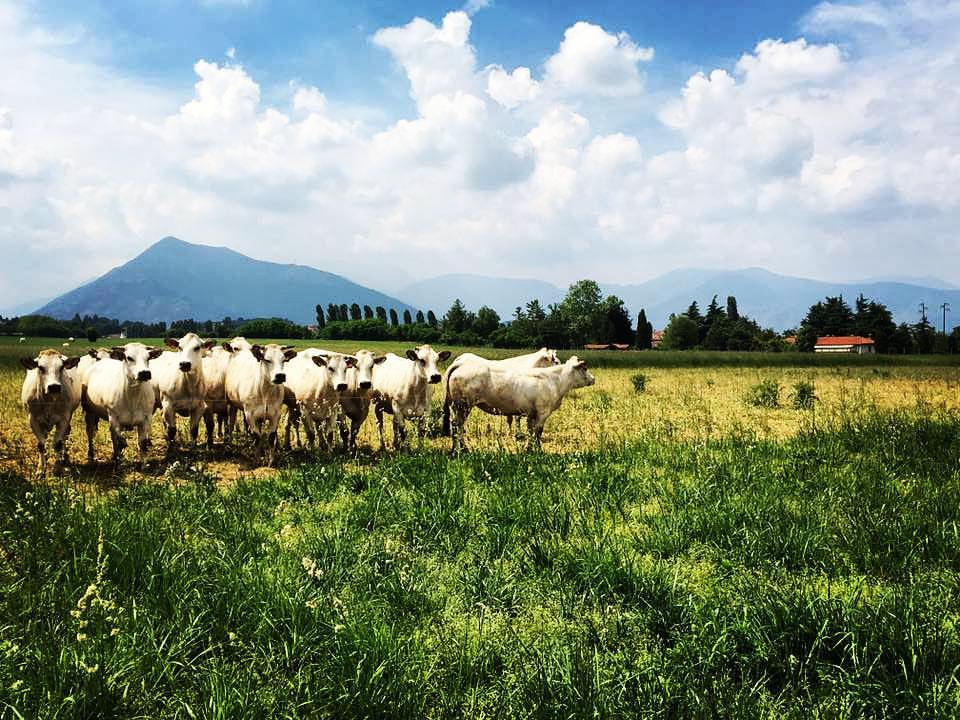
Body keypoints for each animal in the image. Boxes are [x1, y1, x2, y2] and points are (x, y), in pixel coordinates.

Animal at [19, 350, 81, 478]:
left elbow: (57, 443)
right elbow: (41, 444)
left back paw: (64, 457)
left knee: (65, 436)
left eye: (61, 367)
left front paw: (57, 468)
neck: (48, 401)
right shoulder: (33, 420)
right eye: (40, 367)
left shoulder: (63, 419)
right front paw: (40, 469)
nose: (54, 387)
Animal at [448, 354, 596, 450]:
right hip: (464, 405)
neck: (555, 380)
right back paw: (463, 450)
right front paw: (537, 450)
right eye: (585, 368)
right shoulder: (543, 412)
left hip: (456, 406)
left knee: (454, 425)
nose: (593, 379)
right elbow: (538, 432)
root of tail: (460, 364)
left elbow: (531, 431)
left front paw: (529, 449)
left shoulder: (531, 414)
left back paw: (455, 450)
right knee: (458, 426)